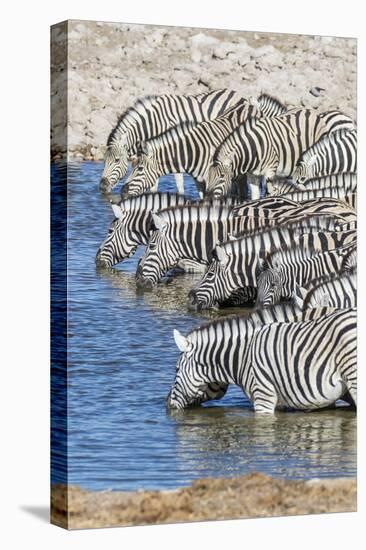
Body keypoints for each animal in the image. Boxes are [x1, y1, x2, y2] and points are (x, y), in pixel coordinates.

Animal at [99, 89, 249, 193]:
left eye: (117, 160)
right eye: (104, 160)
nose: (102, 187)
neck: (153, 123)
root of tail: (235, 93)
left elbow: (177, 180)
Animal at [204, 108, 356, 196]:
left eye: (222, 176)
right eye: (208, 176)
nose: (209, 198)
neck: (253, 150)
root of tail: (310, 111)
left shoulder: (270, 171)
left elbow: (270, 191)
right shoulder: (252, 175)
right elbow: (254, 195)